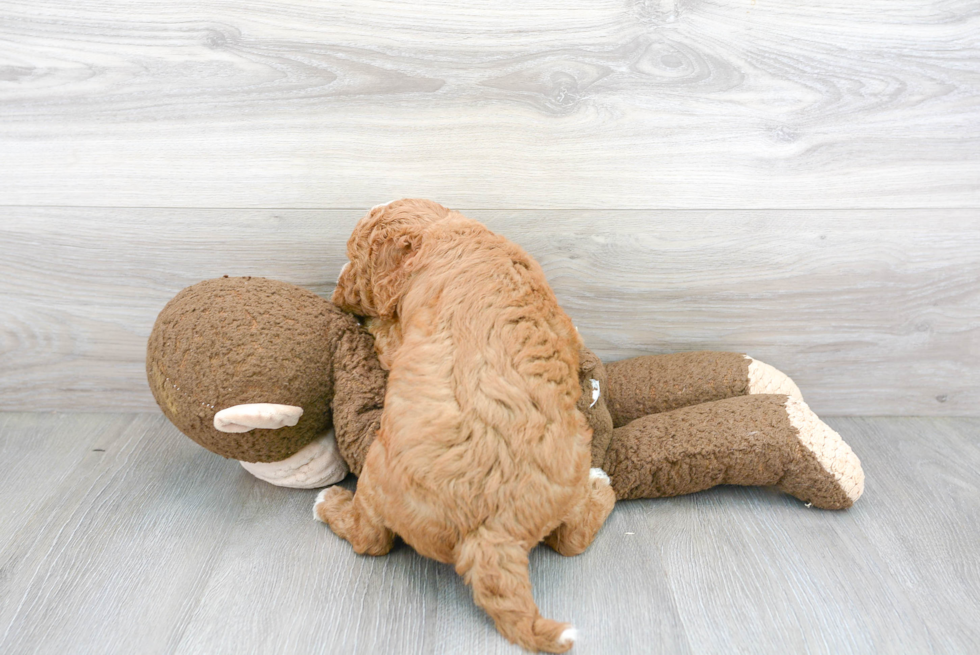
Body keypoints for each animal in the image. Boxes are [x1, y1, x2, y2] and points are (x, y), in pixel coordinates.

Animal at [318, 199, 612, 652]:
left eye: (355, 257)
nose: (335, 286)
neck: (441, 231)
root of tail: (494, 534)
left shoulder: (398, 340)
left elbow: (384, 332)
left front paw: (369, 323)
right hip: (570, 473)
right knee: (571, 539)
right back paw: (601, 485)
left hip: (375, 477)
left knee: (370, 539)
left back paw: (328, 503)